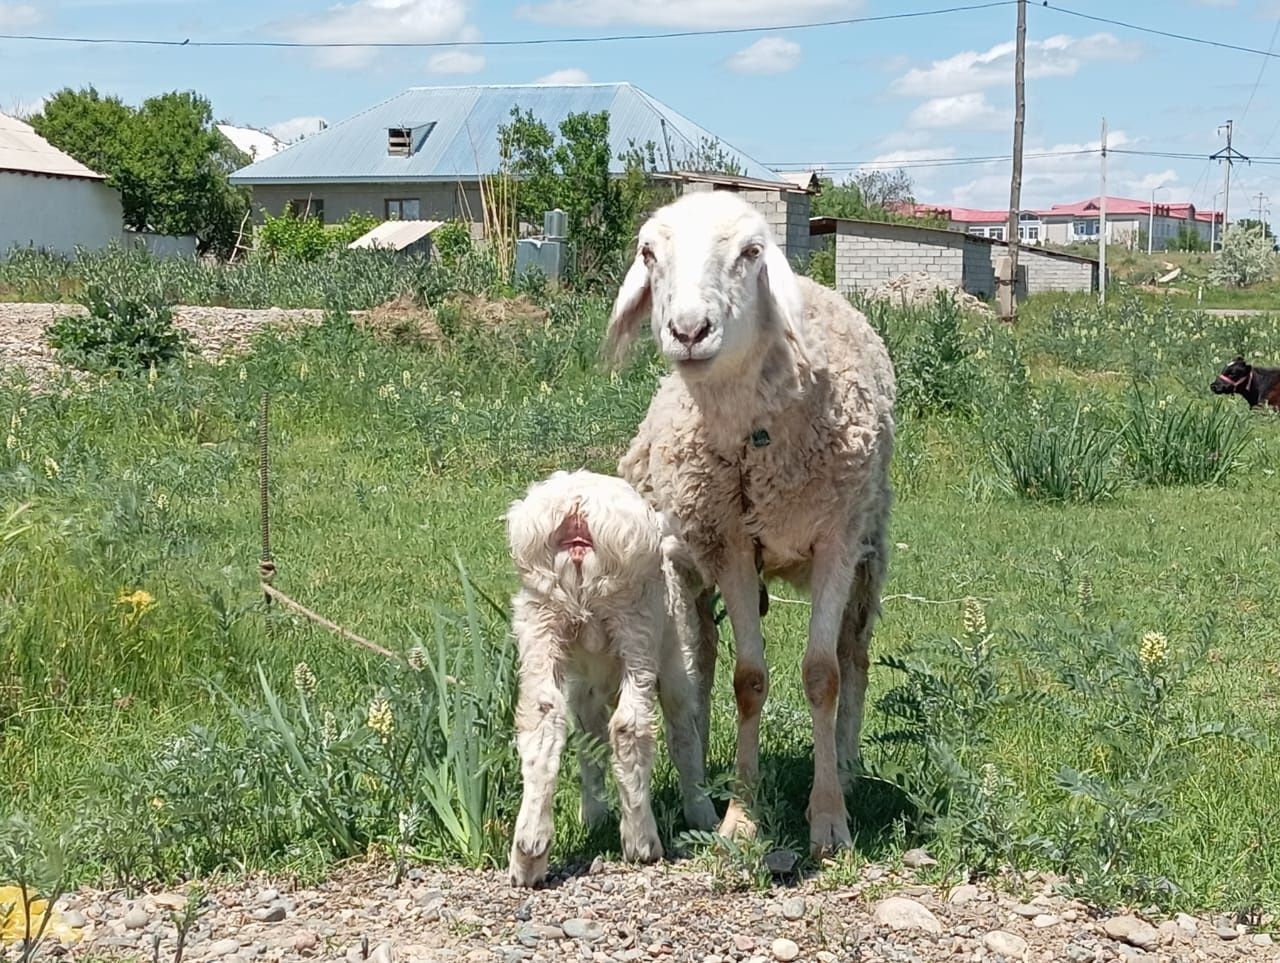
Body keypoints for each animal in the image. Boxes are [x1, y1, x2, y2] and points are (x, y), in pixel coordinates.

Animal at [501, 466, 721, 886]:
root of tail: (578, 510)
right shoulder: (678, 664)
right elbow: (684, 734)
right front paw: (701, 812)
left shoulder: (582, 687)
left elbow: (589, 741)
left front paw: (593, 815)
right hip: (636, 617)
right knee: (630, 726)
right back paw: (641, 841)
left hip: (540, 615)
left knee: (542, 719)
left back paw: (529, 852)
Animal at [601, 192, 896, 855]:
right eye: (648, 253)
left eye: (751, 252)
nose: (688, 331)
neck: (756, 440)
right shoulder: (732, 546)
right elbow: (748, 679)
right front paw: (741, 812)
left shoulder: (837, 542)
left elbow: (822, 675)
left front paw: (829, 819)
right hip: (691, 558)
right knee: (702, 661)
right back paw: (707, 768)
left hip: (869, 552)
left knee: (855, 654)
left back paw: (846, 764)